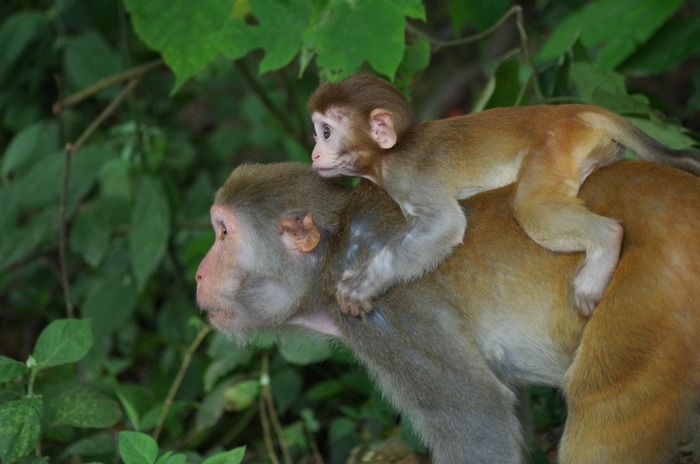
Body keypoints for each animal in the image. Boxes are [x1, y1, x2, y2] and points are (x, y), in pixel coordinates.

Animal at [196, 161, 700, 462]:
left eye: (222, 233)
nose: (199, 274)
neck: (330, 258)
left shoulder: (386, 313)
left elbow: (479, 416)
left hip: (653, 287)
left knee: (604, 398)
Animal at [308, 74, 700, 318]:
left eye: (325, 132)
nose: (313, 154)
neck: (387, 155)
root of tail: (573, 109)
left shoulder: (407, 176)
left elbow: (444, 225)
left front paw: (363, 283)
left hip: (555, 145)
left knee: (530, 206)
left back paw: (605, 242)